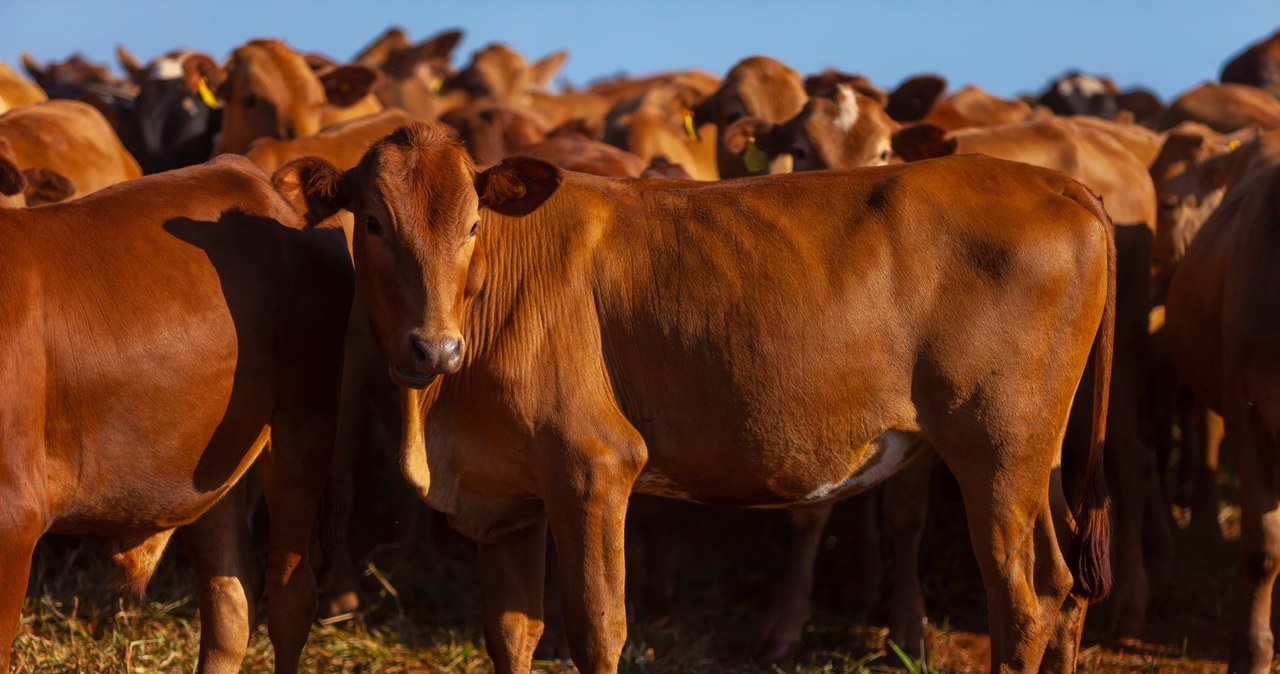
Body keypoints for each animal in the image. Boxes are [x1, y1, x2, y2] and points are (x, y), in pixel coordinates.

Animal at [0, 154, 350, 674]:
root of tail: (265, 179)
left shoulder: (14, 516)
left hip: (303, 425)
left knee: (291, 592)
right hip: (211, 463)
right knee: (230, 597)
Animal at [277, 122, 1111, 674]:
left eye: (474, 222)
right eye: (373, 221)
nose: (434, 348)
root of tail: (1054, 182)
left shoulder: (593, 468)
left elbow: (596, 627)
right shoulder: (507, 499)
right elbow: (511, 634)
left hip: (996, 454)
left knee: (1021, 606)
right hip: (1037, 457)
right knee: (1062, 586)